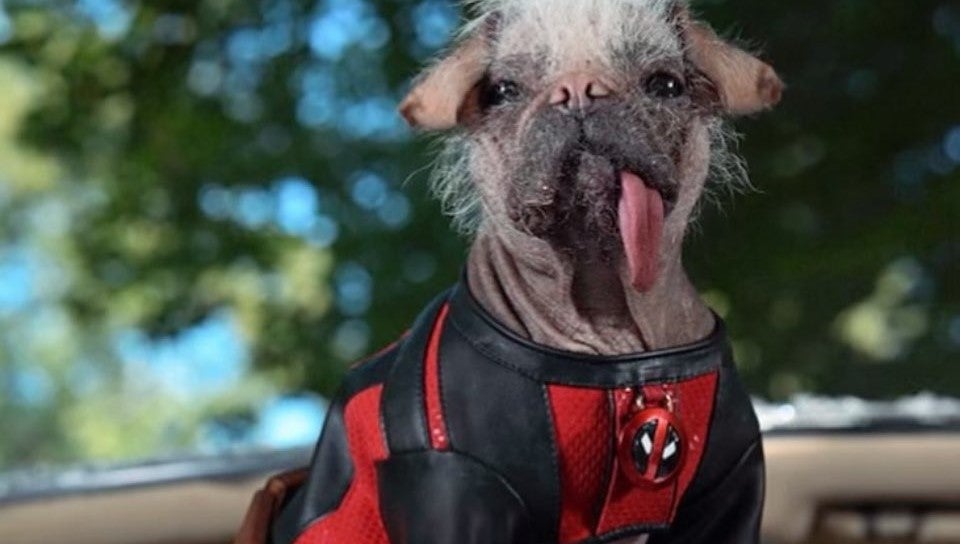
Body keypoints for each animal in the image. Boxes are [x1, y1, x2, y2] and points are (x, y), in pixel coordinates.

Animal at [236, 1, 784, 544]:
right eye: (503, 91)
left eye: (666, 84)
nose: (579, 91)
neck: (612, 335)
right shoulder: (455, 490)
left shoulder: (728, 497)